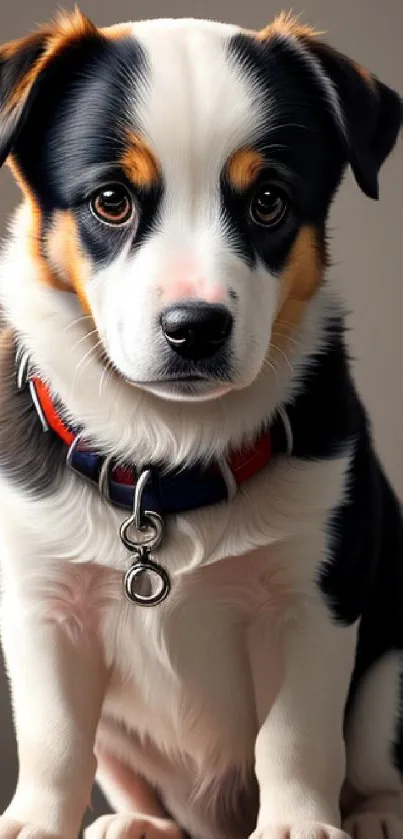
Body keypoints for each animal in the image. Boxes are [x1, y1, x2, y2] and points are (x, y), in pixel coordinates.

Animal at [0, 9, 402, 839]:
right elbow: (54, 736)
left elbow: (296, 734)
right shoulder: (41, 606)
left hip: (390, 671)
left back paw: (376, 813)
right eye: (111, 200)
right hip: (124, 742)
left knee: (372, 752)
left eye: (268, 201)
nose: (194, 328)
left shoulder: (312, 601)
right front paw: (37, 820)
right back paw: (138, 822)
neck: (168, 453)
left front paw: (296, 823)